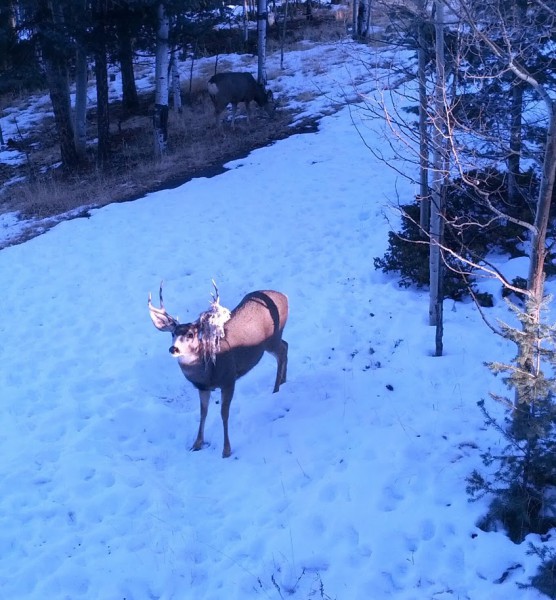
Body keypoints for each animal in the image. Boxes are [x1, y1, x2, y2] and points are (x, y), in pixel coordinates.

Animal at [149, 284, 286, 458]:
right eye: (172, 333)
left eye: (190, 334)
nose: (173, 349)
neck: (209, 371)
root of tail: (284, 296)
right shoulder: (202, 388)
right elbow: (203, 413)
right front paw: (196, 444)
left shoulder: (229, 379)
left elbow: (224, 413)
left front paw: (226, 450)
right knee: (286, 346)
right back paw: (283, 382)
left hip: (272, 339)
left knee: (282, 351)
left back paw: (276, 389)